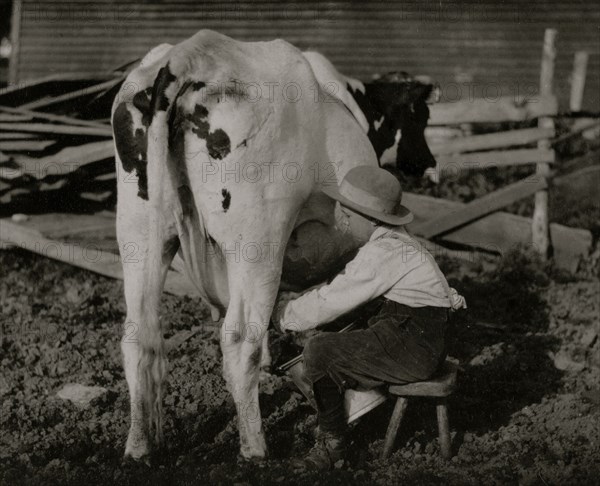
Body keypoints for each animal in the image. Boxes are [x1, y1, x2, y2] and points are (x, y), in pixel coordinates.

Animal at [111, 30, 376, 464]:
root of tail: (190, 53)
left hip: (138, 232)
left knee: (138, 336)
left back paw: (139, 447)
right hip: (257, 241)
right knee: (238, 340)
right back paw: (255, 449)